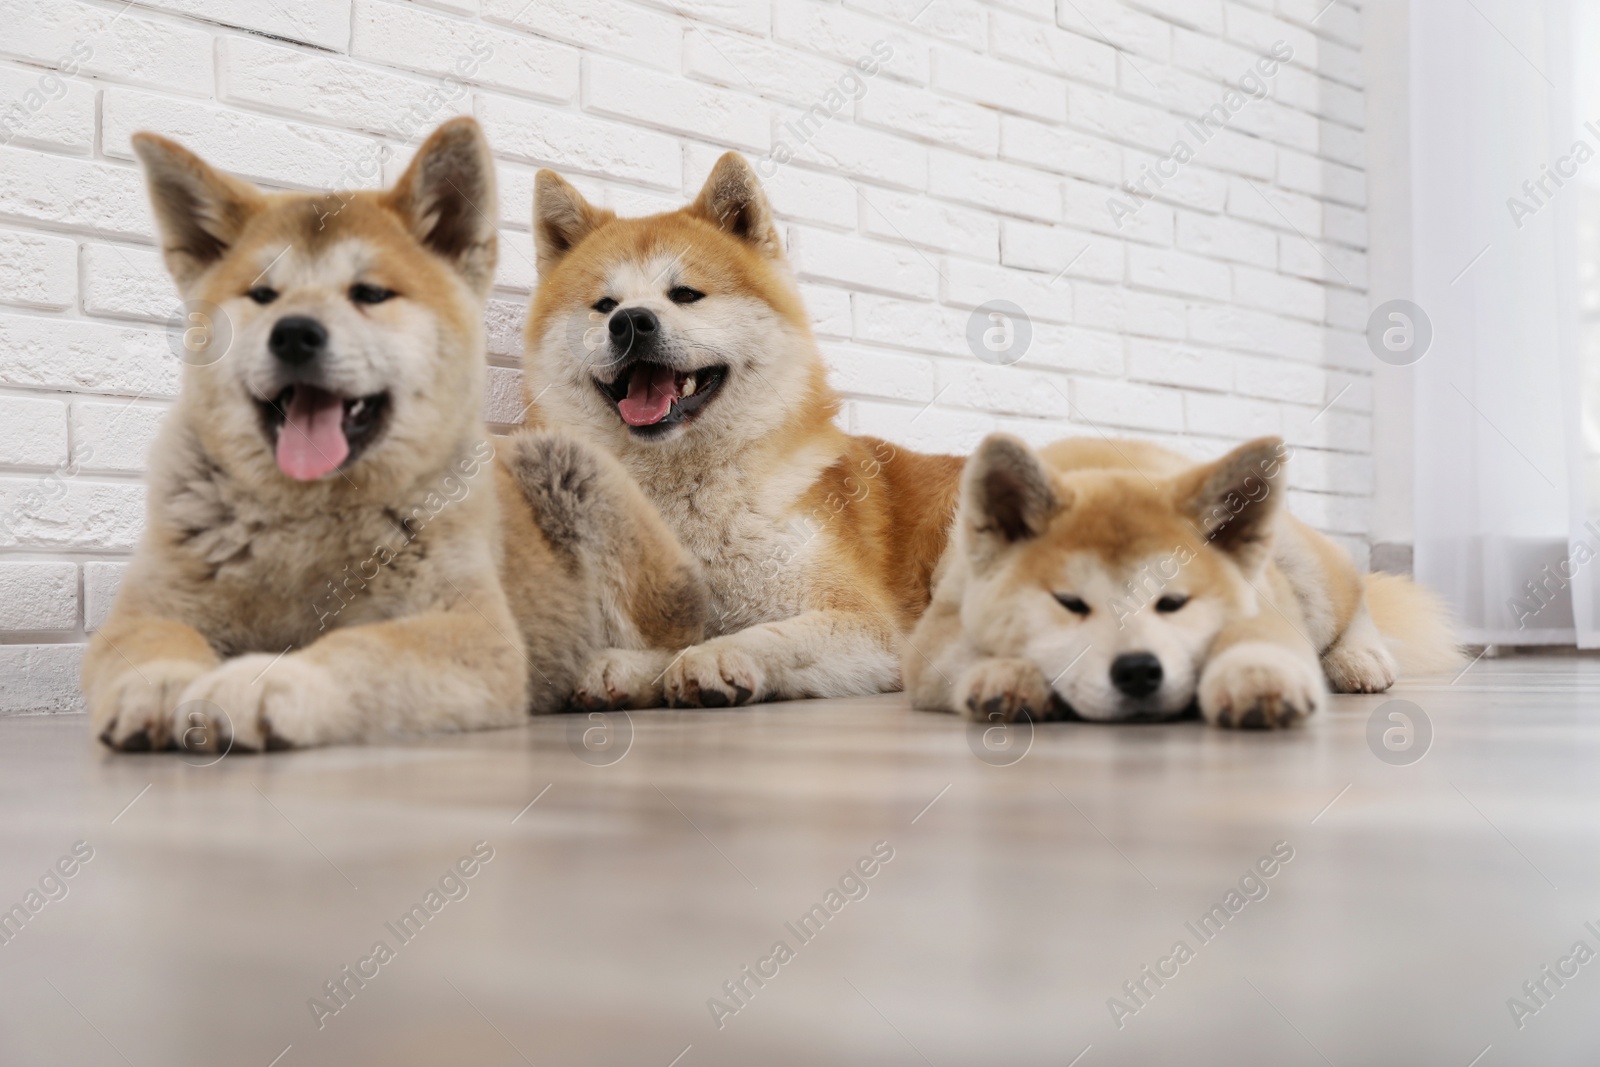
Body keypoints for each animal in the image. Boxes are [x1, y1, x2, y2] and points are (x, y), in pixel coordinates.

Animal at [86, 116, 700, 751]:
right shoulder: (152, 608)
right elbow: (150, 641)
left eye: (371, 294)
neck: (308, 513)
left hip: (570, 467)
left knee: (677, 644)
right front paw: (157, 685)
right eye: (262, 295)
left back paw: (618, 672)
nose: (294, 334)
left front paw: (263, 681)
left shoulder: (471, 634)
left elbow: (359, 648)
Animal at [521, 151, 960, 710]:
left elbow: (768, 635)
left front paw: (718, 657)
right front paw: (622, 667)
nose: (630, 321)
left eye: (686, 294)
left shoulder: (867, 624)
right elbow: (670, 643)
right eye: (604, 305)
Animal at [902, 435, 1465, 726]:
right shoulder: (935, 636)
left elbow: (1259, 641)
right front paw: (1008, 674)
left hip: (1308, 571)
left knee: (1359, 597)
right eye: (1070, 602)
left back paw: (1359, 657)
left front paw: (1254, 676)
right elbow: (964, 656)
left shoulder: (1266, 606)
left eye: (1173, 602)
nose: (1137, 671)